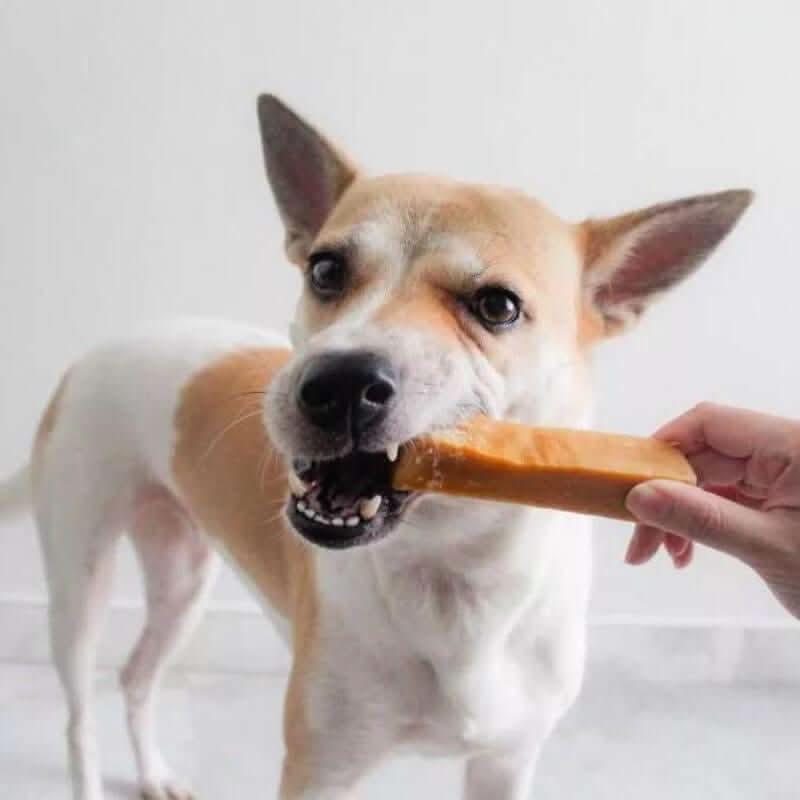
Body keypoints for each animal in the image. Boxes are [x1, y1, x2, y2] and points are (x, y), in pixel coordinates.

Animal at [0, 95, 752, 800]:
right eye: (326, 270)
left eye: (498, 306)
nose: (338, 385)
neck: (453, 580)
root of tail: (97, 351)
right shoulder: (320, 769)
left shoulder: (505, 764)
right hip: (81, 578)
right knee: (79, 715)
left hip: (183, 576)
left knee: (135, 677)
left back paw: (154, 772)